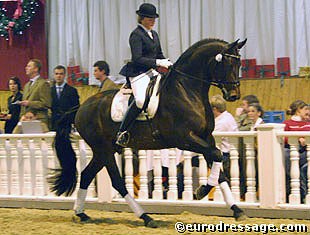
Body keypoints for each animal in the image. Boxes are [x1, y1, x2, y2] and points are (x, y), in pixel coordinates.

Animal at [48, 37, 247, 227]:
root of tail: (81, 108)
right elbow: (218, 155)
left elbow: (219, 167)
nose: (234, 95)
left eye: (239, 64)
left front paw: (237, 210)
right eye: (227, 63)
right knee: (117, 182)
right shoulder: (185, 139)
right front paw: (202, 191)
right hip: (103, 149)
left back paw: (81, 213)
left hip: (102, 151)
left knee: (87, 175)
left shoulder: (206, 138)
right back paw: (146, 217)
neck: (186, 90)